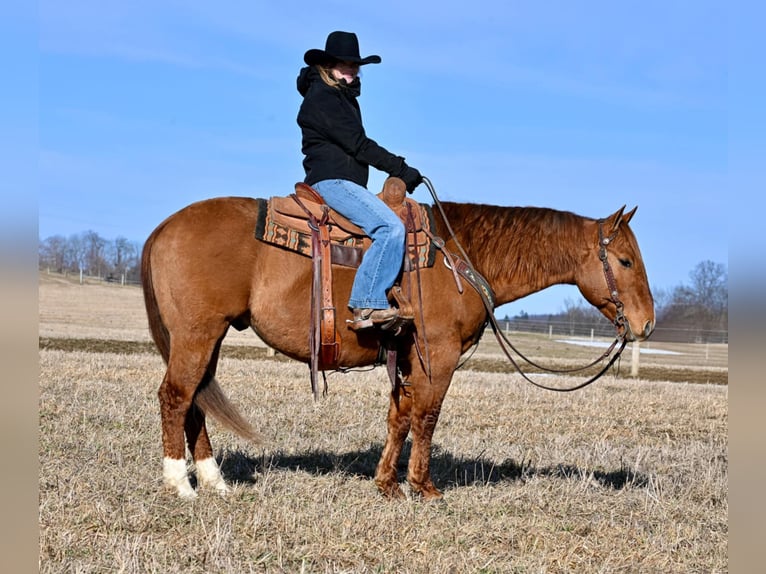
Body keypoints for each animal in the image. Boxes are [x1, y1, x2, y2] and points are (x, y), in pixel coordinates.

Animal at [142, 188, 656, 500]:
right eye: (626, 261)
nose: (646, 323)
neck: (460, 256)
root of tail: (163, 228)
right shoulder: (438, 355)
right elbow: (427, 417)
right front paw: (424, 487)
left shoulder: (406, 357)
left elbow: (400, 418)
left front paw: (387, 483)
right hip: (197, 334)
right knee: (176, 396)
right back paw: (180, 484)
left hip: (209, 338)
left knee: (196, 401)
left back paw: (214, 481)